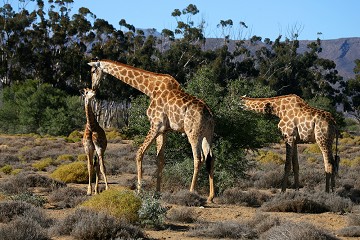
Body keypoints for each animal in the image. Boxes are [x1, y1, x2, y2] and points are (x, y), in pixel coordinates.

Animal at [88, 59, 217, 202]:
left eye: (93, 71)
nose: (93, 87)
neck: (150, 88)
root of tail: (209, 114)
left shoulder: (155, 125)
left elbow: (139, 153)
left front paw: (139, 190)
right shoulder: (163, 130)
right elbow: (159, 160)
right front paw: (157, 192)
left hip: (193, 133)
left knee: (198, 158)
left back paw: (191, 191)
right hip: (207, 134)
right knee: (210, 157)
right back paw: (210, 196)